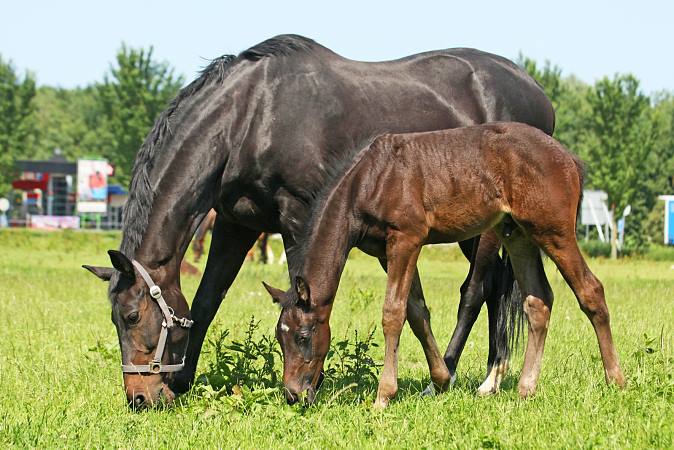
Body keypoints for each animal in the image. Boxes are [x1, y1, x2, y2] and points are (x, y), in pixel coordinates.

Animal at [80, 35, 552, 408]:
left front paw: (312, 381)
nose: (140, 398)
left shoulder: (299, 218)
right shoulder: (236, 226)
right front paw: (183, 381)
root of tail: (536, 90)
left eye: (132, 317)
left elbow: (307, 294)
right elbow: (207, 301)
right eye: (115, 319)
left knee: (477, 290)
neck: (250, 116)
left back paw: (466, 375)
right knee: (498, 288)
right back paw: (491, 376)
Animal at [264, 122, 624, 408]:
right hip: (517, 233)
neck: (368, 180)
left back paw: (615, 379)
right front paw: (439, 379)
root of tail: (569, 160)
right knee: (538, 300)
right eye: (281, 338)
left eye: (304, 336)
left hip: (553, 230)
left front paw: (384, 396)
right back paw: (526, 388)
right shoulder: (386, 251)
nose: (293, 394)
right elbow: (416, 312)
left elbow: (393, 313)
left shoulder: (406, 239)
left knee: (590, 290)